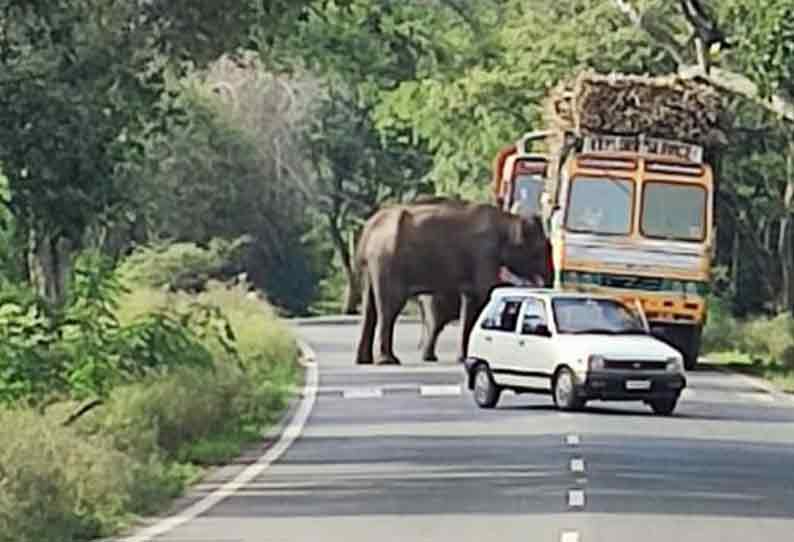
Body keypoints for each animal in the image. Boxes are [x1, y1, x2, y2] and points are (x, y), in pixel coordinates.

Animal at [354, 198, 548, 368]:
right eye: (540, 250)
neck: (508, 219)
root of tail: (368, 228)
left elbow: (472, 301)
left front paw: (465, 359)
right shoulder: (484, 253)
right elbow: (487, 291)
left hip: (371, 265)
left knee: (370, 309)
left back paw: (365, 361)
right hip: (387, 261)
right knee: (390, 308)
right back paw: (389, 361)